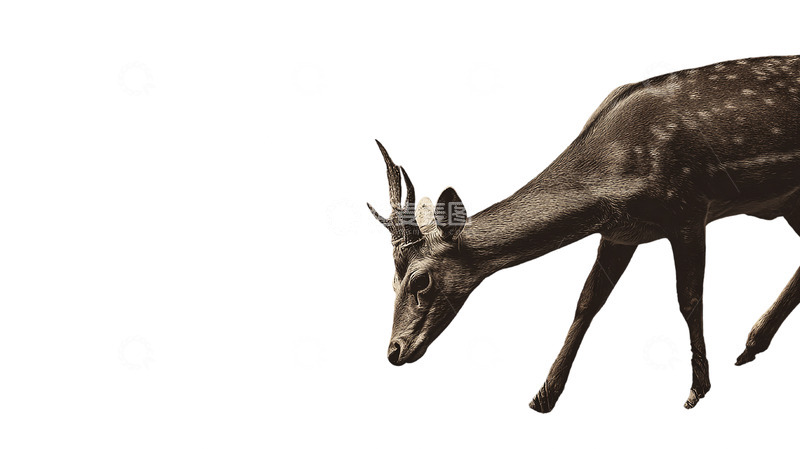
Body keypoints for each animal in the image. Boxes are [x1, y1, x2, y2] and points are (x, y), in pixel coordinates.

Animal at [367, 55, 800, 412]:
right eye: (391, 282)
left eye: (420, 280)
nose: (394, 351)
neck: (613, 175)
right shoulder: (621, 233)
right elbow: (587, 302)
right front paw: (544, 396)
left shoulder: (689, 209)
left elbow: (689, 299)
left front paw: (697, 388)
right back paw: (751, 345)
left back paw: (749, 345)